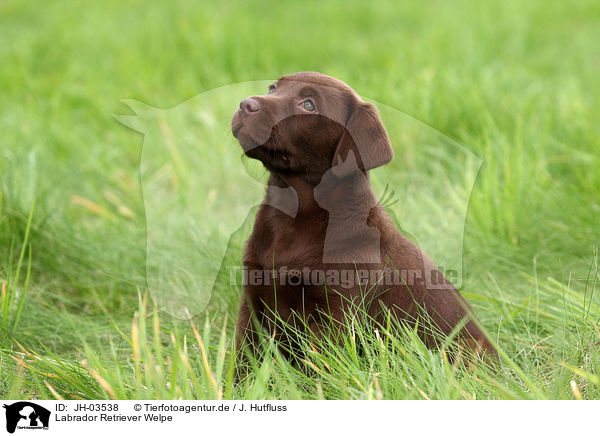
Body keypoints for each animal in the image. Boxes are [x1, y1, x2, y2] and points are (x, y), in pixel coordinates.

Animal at [230, 71, 492, 362]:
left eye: (308, 104)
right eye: (273, 88)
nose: (245, 104)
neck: (296, 214)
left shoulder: (335, 314)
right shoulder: (254, 302)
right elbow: (243, 360)